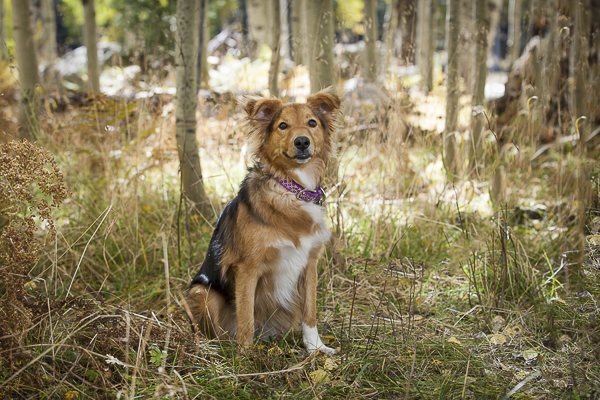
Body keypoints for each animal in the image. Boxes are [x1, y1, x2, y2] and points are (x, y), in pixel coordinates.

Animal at [187, 88, 341, 355]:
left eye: (312, 123)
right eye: (283, 125)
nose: (302, 141)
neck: (292, 192)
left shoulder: (310, 264)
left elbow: (310, 313)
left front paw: (315, 349)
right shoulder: (247, 268)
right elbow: (246, 317)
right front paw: (245, 357)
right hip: (201, 292)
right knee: (218, 332)